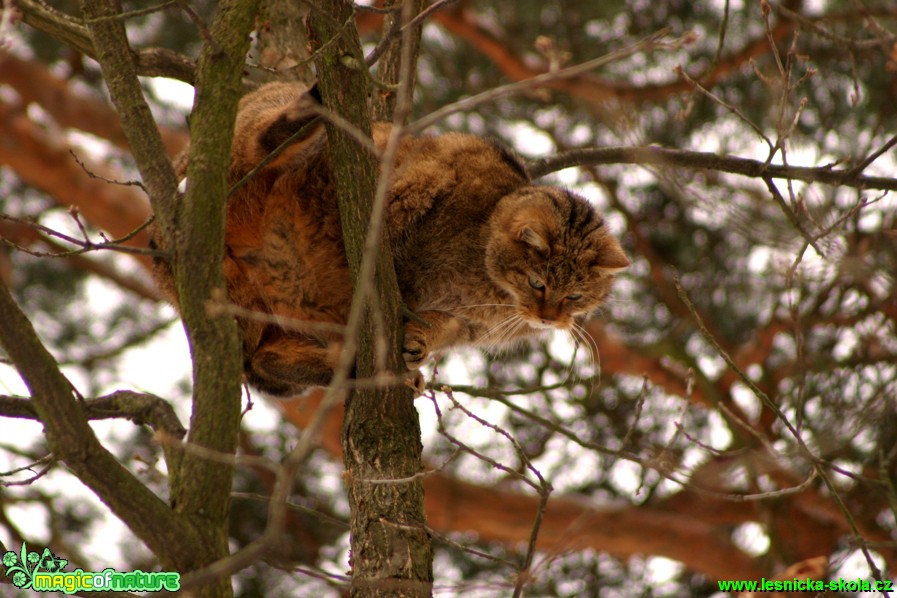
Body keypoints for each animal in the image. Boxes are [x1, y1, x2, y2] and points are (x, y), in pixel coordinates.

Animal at [152, 81, 632, 398]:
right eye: (538, 283)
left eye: (575, 297)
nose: (551, 318)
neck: (488, 289)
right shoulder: (414, 189)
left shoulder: (466, 324)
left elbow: (440, 325)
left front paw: (421, 340)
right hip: (251, 153)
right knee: (262, 140)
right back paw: (303, 113)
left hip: (259, 319)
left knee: (263, 361)